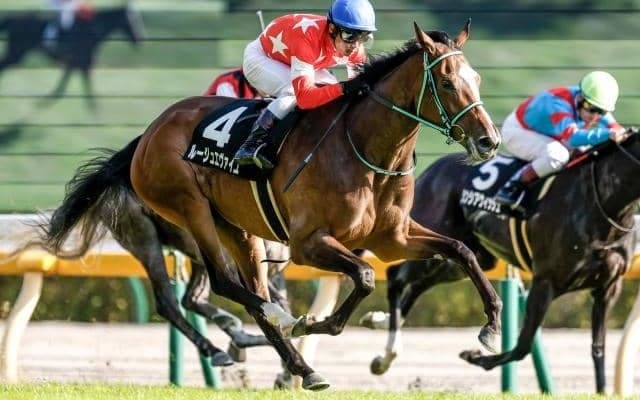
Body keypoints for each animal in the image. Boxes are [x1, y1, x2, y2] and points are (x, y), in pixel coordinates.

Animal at [0, 5, 144, 105]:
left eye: (137, 19)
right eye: (133, 20)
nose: (138, 40)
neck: (90, 30)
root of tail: (14, 20)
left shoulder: (74, 63)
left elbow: (63, 86)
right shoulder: (82, 63)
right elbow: (85, 87)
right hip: (15, 54)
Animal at [40, 22, 502, 390]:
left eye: (477, 77)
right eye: (446, 82)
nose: (489, 141)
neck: (364, 147)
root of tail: (148, 133)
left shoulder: (394, 238)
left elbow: (460, 250)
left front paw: (491, 327)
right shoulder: (308, 243)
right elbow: (366, 277)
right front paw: (317, 323)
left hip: (237, 229)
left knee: (244, 291)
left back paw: (302, 367)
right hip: (186, 212)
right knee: (222, 286)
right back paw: (271, 326)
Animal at [361, 129, 640, 393]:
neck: (603, 203)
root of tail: (433, 169)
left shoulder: (607, 289)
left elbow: (598, 347)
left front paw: (602, 390)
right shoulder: (545, 281)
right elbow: (523, 346)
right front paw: (475, 355)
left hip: (463, 260)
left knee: (418, 285)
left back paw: (380, 325)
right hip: (427, 240)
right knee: (397, 276)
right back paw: (386, 352)